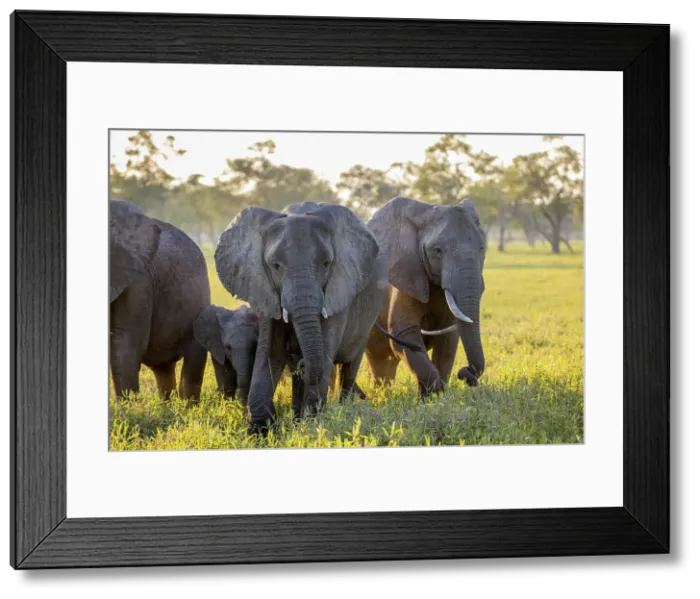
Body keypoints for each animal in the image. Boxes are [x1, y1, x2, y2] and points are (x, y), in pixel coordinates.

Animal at [214, 201, 388, 434]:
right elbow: (270, 351)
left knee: (350, 366)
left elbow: (325, 349)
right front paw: (259, 431)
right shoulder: (263, 288)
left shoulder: (338, 290)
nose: (303, 363)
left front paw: (312, 426)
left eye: (326, 263)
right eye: (275, 265)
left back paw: (343, 409)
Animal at [364, 196, 487, 398]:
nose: (465, 372)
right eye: (437, 250)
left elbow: (447, 343)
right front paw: (432, 394)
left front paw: (435, 399)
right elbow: (404, 335)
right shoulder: (407, 274)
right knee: (378, 360)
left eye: (482, 248)